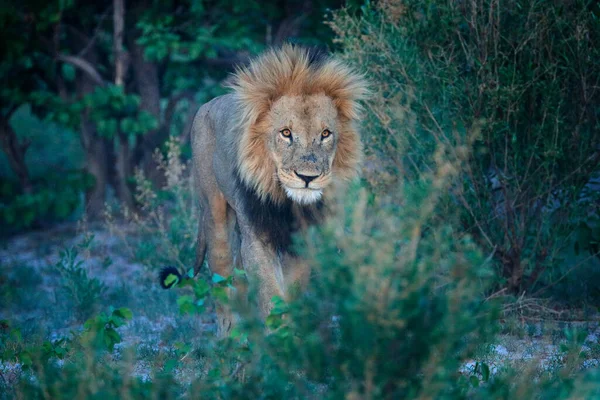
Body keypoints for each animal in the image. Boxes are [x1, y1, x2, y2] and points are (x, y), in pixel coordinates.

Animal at [162, 45, 368, 336]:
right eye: (286, 133)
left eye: (326, 134)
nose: (308, 177)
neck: (286, 202)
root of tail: (207, 103)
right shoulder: (256, 237)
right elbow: (270, 293)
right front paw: (279, 336)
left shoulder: (301, 239)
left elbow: (291, 290)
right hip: (214, 210)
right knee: (222, 270)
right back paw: (229, 335)